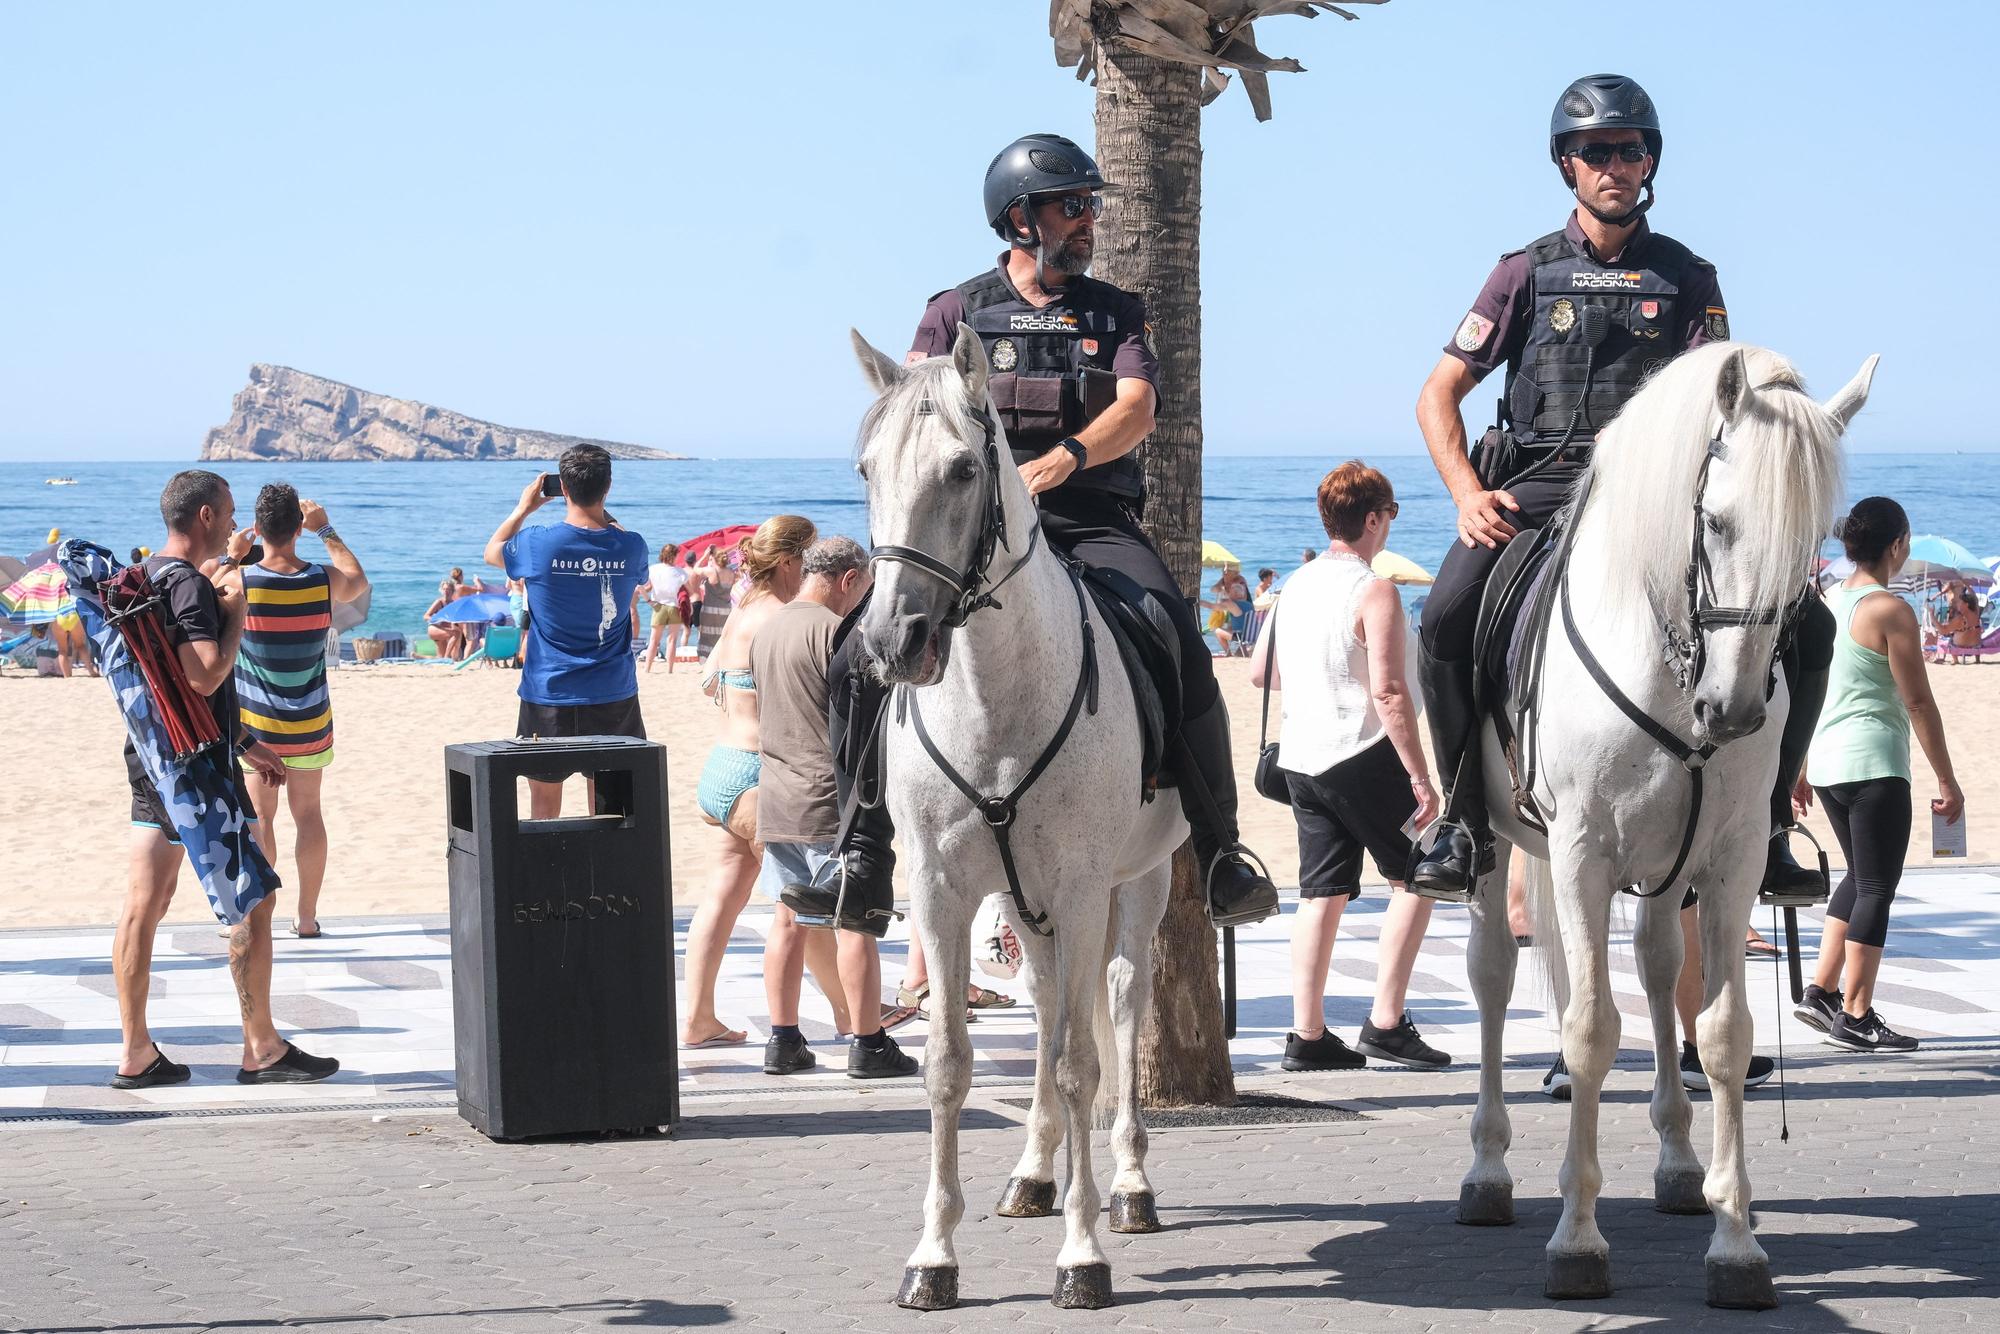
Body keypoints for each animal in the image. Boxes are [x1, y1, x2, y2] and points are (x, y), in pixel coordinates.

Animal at [848, 326, 1184, 1312]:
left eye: (965, 469)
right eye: (866, 469)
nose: (893, 643)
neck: (997, 696)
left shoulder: (1077, 888)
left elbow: (1080, 1064)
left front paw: (1082, 1255)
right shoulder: (941, 891)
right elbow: (949, 1065)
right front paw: (933, 1256)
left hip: (1136, 887)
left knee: (1117, 1005)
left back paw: (1128, 1187)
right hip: (1023, 904)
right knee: (1042, 1004)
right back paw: (1036, 1173)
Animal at [1456, 344, 1872, 1312]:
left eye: (1813, 543)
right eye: (1715, 522)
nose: (1736, 710)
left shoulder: (1729, 863)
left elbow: (1721, 1035)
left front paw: (1737, 1244)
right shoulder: (1579, 855)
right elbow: (1587, 1032)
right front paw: (1577, 1240)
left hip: (1666, 868)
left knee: (1653, 965)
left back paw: (1680, 1164)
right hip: (1497, 849)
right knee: (1493, 980)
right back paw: (1488, 1173)